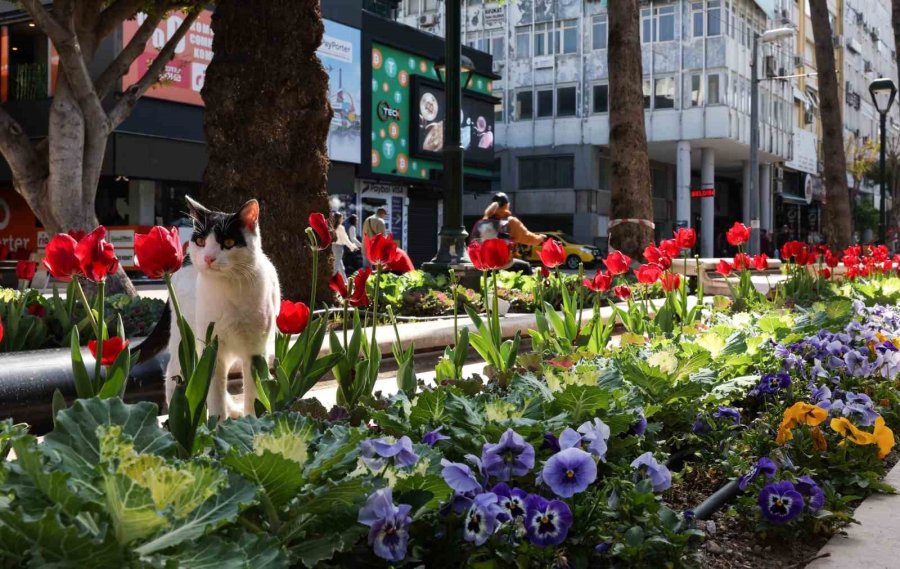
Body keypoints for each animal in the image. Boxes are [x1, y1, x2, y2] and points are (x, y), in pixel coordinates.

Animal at [162, 195, 280, 418]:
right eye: (201, 242)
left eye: (228, 243)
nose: (208, 258)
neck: (229, 287)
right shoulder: (212, 351)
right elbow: (215, 397)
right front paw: (217, 424)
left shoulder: (255, 351)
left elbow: (254, 394)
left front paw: (251, 420)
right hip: (184, 337)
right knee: (173, 372)